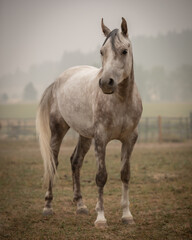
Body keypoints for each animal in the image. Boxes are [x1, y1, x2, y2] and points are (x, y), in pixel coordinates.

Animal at [36, 17, 143, 228]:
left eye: (124, 51)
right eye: (102, 52)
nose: (106, 83)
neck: (121, 100)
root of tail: (58, 80)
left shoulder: (129, 139)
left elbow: (125, 174)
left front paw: (127, 216)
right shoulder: (100, 139)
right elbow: (101, 177)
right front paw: (101, 218)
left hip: (84, 135)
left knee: (75, 161)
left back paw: (81, 205)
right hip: (58, 130)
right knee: (54, 162)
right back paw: (48, 207)